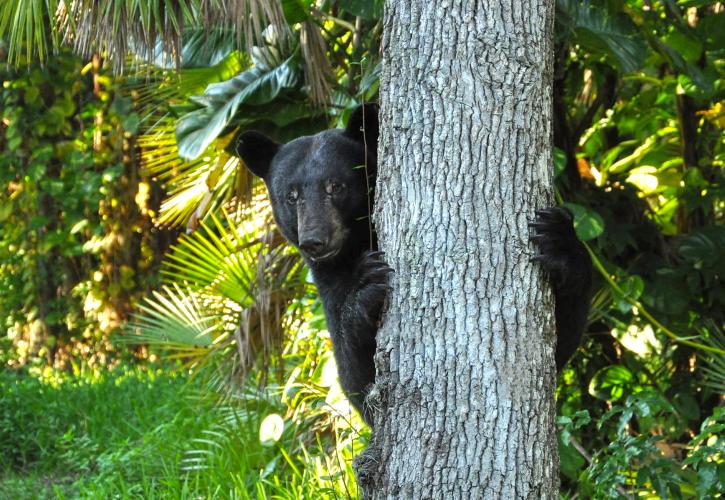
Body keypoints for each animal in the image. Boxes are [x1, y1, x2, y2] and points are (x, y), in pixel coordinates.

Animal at [235, 103, 592, 424]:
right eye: (291, 195)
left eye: (335, 186)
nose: (314, 239)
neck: (360, 242)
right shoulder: (330, 284)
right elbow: (355, 379)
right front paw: (367, 285)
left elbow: (562, 340)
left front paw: (557, 240)